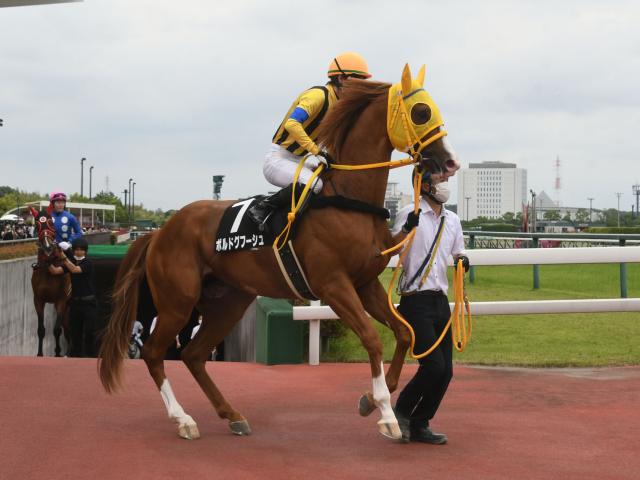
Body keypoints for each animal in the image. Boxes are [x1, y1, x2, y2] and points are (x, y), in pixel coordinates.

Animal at [29, 208, 70, 358]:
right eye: (37, 224)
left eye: (51, 222)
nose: (47, 247)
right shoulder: (38, 300)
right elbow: (41, 329)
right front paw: (39, 354)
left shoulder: (61, 300)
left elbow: (57, 330)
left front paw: (57, 353)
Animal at [99, 65, 460, 440]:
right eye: (422, 112)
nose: (450, 163)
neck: (348, 199)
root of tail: (158, 233)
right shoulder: (333, 285)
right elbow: (373, 338)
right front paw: (386, 415)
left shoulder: (365, 283)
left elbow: (405, 333)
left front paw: (370, 399)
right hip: (177, 302)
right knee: (154, 352)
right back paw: (183, 419)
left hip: (230, 300)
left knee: (194, 355)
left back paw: (232, 414)